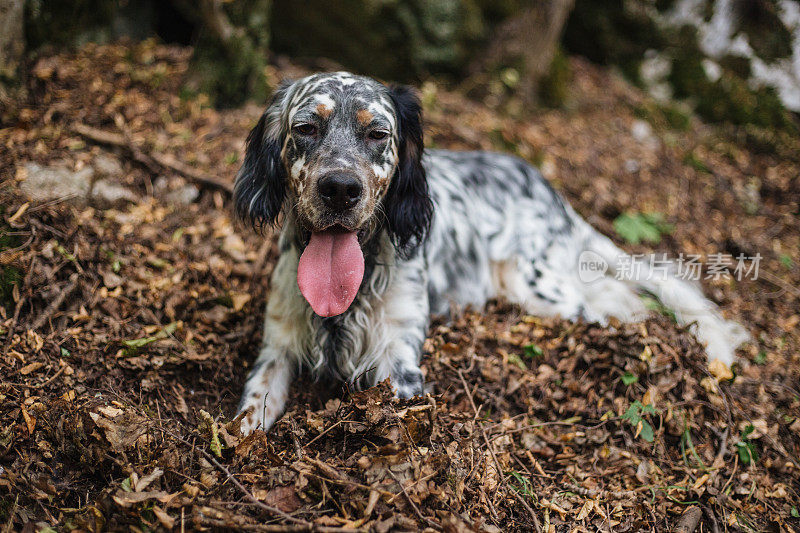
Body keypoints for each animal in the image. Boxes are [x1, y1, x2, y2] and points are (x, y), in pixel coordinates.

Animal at [233, 71, 752, 432]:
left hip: (539, 288)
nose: (340, 189)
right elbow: (250, 412)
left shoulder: (399, 359)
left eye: (378, 134)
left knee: (614, 301)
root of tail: (553, 192)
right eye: (305, 127)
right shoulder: (276, 348)